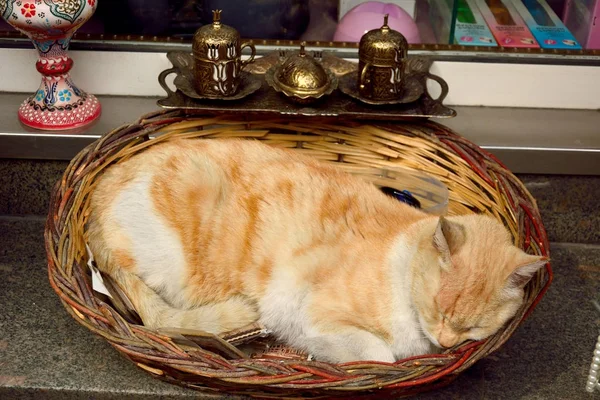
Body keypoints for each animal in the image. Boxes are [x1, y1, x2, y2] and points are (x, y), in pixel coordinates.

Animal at [85, 137, 548, 362]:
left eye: (474, 328)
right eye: (439, 309)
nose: (446, 339)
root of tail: (96, 198)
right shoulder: (309, 312)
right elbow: (379, 355)